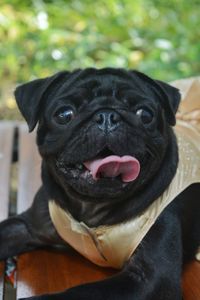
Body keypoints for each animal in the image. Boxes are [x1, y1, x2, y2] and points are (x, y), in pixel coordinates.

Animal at [0, 68, 200, 300]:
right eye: (64, 114)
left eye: (145, 115)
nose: (107, 116)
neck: (92, 208)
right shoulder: (27, 225)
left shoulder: (151, 278)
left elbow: (77, 293)